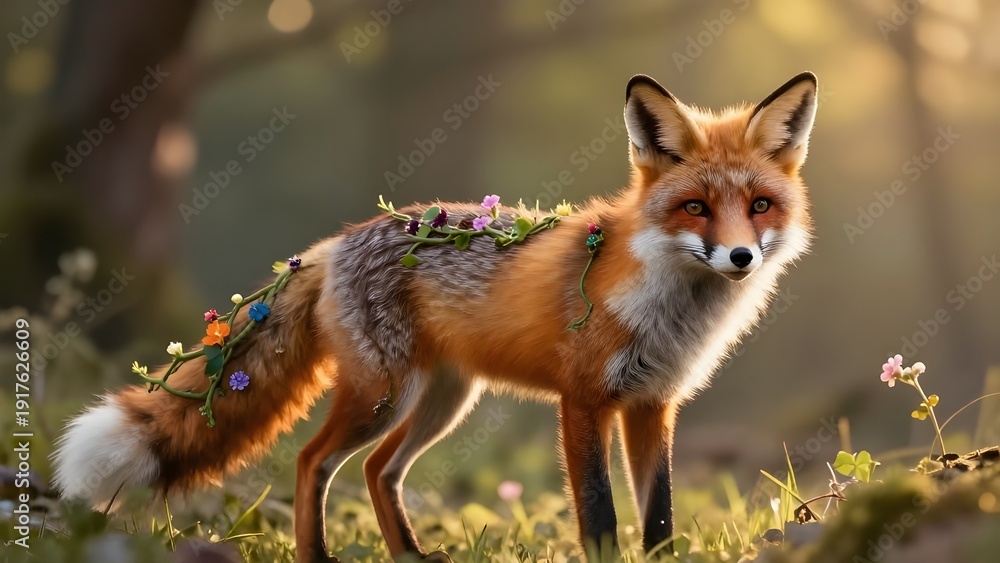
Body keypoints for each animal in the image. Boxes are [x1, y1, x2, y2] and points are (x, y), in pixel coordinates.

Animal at [52, 72, 817, 561]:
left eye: (759, 206)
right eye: (695, 207)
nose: (741, 256)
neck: (666, 305)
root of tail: (334, 242)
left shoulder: (653, 404)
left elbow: (658, 519)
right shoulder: (583, 401)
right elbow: (600, 517)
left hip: (442, 399)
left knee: (377, 471)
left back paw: (410, 555)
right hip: (385, 395)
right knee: (311, 459)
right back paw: (319, 556)